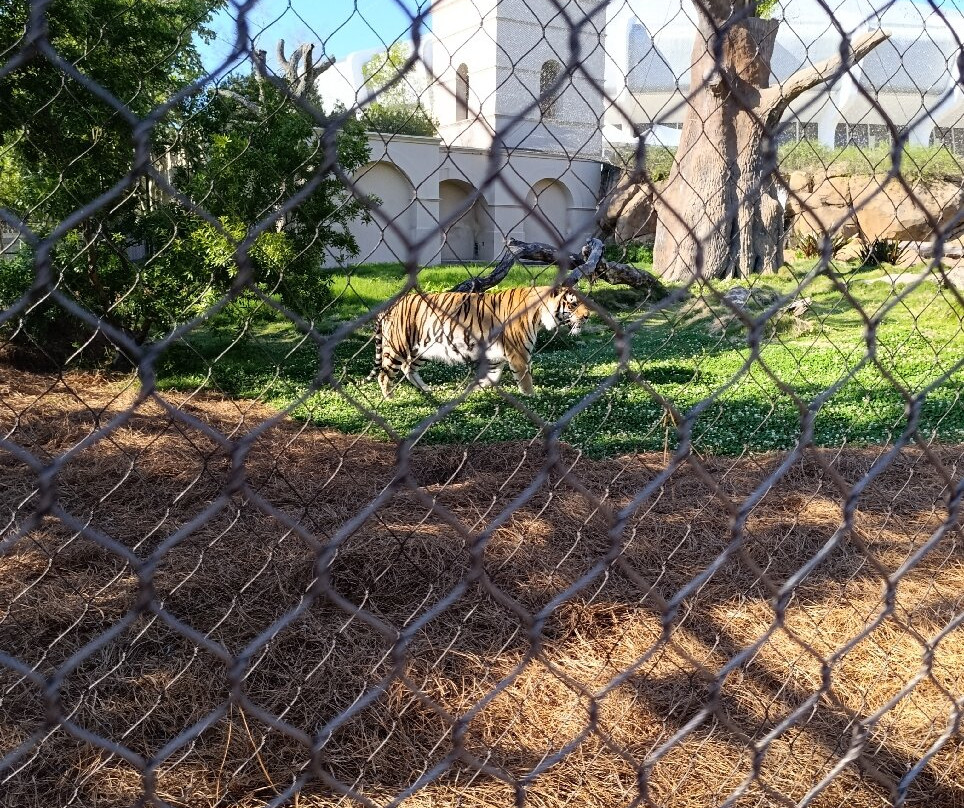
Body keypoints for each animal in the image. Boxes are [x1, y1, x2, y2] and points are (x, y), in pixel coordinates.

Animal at [372, 285, 592, 398]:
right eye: (573, 304)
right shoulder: (519, 354)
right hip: (398, 347)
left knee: (408, 368)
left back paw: (426, 389)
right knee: (384, 374)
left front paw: (470, 391)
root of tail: (391, 305)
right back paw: (389, 398)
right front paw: (532, 398)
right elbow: (525, 380)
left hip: (423, 349)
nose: (588, 316)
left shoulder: (496, 356)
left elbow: (489, 378)